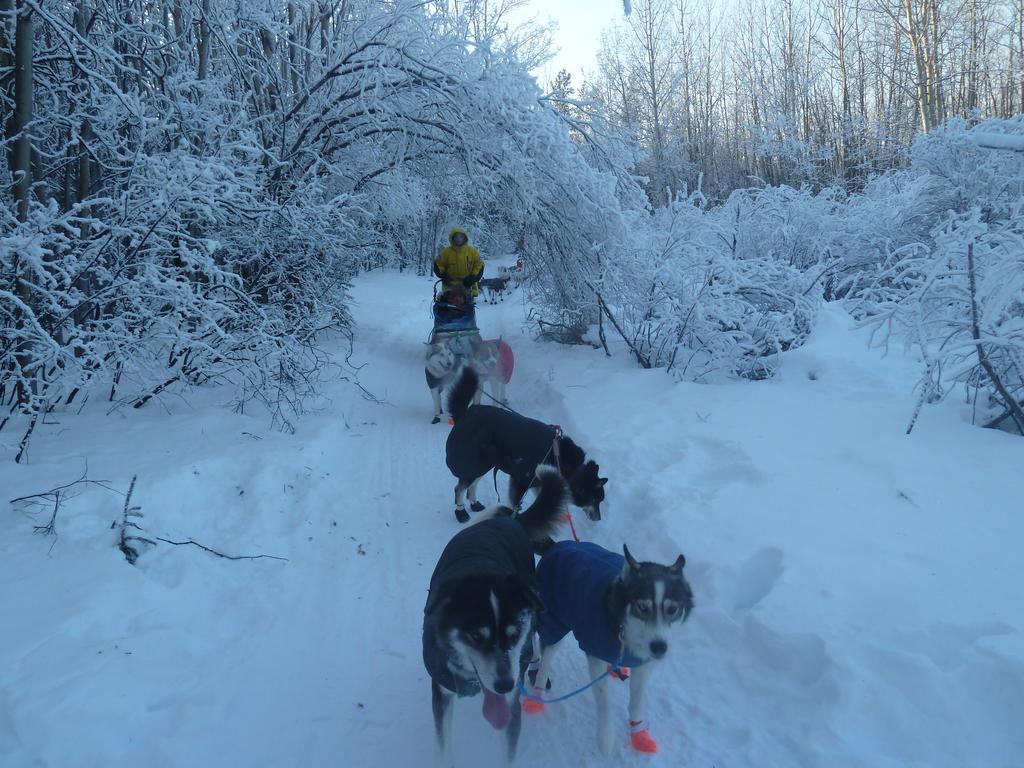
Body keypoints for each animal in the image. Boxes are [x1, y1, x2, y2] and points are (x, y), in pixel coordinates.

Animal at [421, 468, 569, 768]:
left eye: (514, 632)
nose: (504, 685)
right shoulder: (441, 689)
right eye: (476, 636)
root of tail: (509, 521)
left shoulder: (511, 698)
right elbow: (442, 747)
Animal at [442, 368, 602, 528]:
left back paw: (474, 503)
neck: (559, 457)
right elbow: (515, 504)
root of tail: (463, 415)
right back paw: (461, 512)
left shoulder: (537, 481)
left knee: (472, 484)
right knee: (459, 488)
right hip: (475, 463)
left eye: (600, 501)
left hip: (483, 464)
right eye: (595, 500)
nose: (599, 518)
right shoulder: (520, 481)